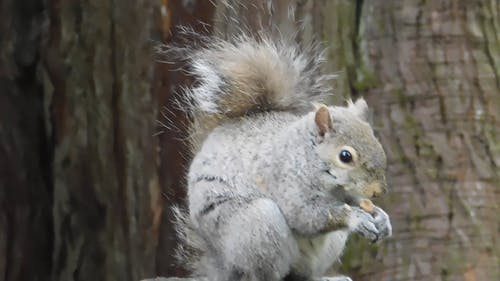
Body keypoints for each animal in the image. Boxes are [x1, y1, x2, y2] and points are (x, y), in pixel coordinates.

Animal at [154, 32, 392, 280]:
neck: (307, 156)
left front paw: (382, 217)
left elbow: (354, 201)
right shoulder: (286, 182)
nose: (378, 191)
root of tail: (222, 263)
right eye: (345, 156)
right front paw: (355, 218)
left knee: (300, 275)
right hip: (258, 226)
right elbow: (304, 214)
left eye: (377, 142)